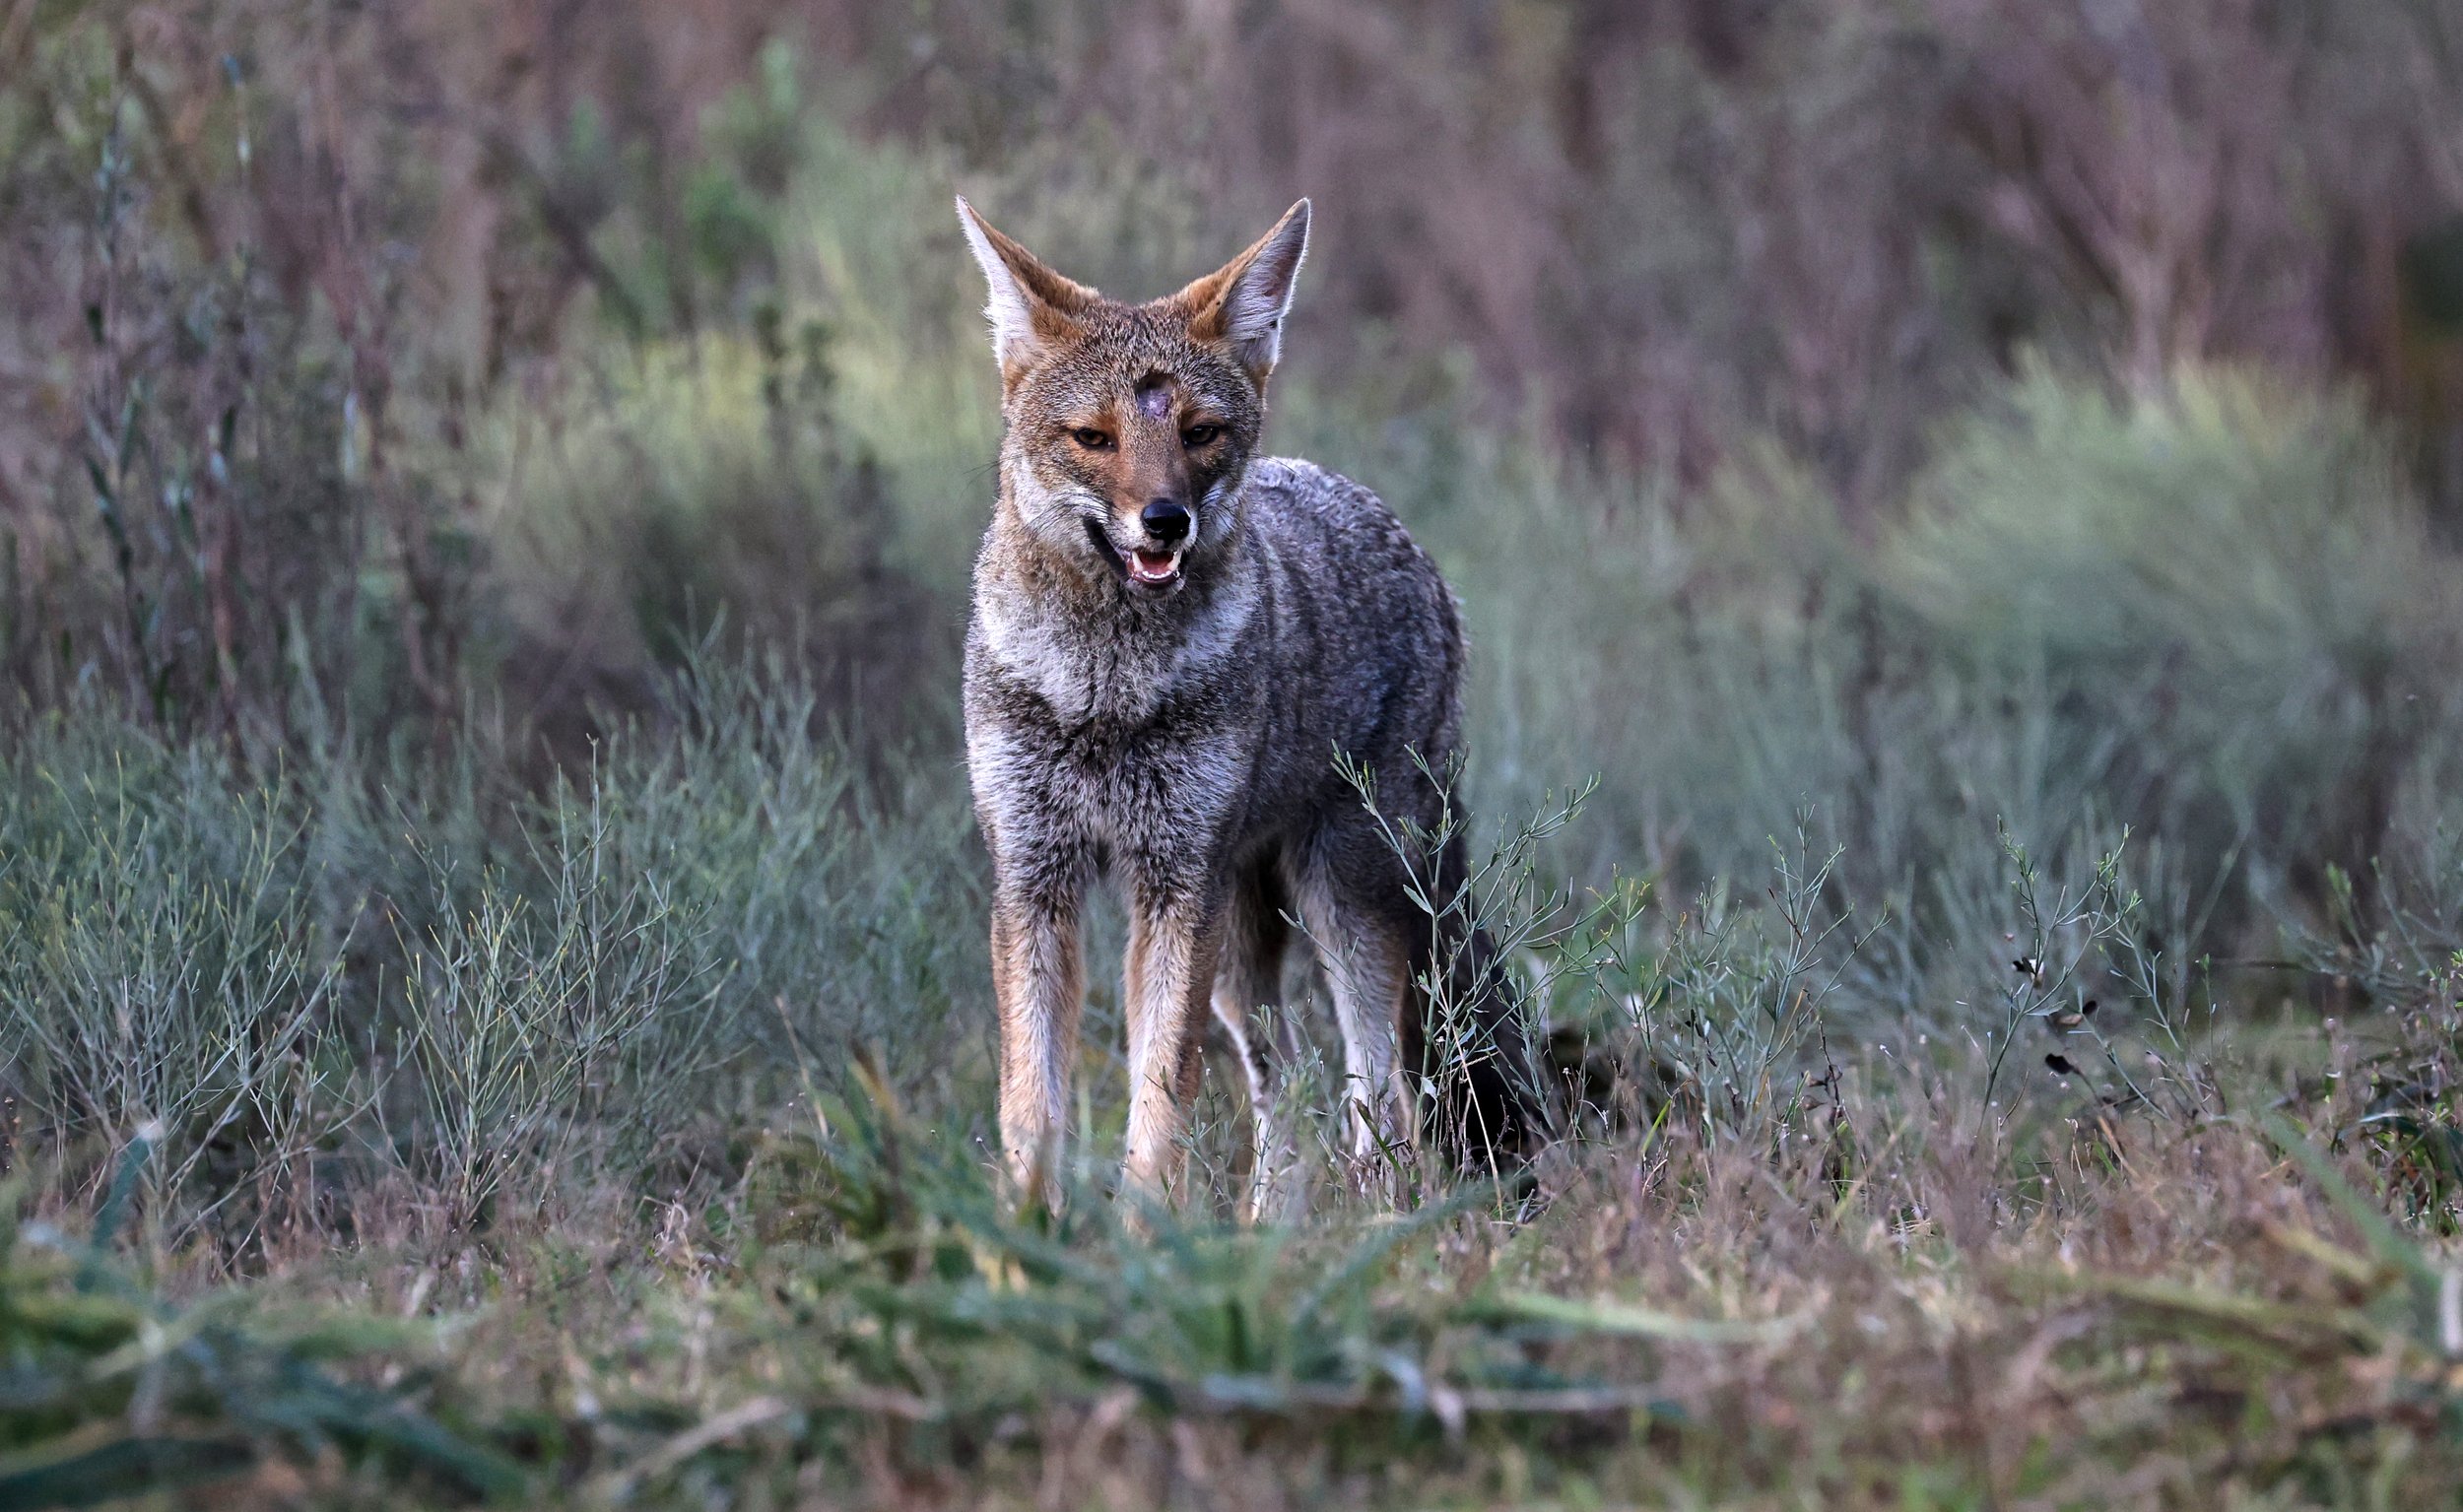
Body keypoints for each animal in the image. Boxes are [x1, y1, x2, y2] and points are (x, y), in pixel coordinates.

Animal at [955, 194, 1551, 1218]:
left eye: (1199, 433)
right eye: (1093, 438)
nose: (1165, 521)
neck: (1104, 691)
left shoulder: (1173, 887)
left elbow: (1160, 1102)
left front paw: (1145, 1238)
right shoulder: (1035, 881)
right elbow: (1032, 1107)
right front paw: (1019, 1241)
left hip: (1344, 900)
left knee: (1380, 1088)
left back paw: (1374, 1221)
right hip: (1243, 950)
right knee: (1291, 1086)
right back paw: (1271, 1226)